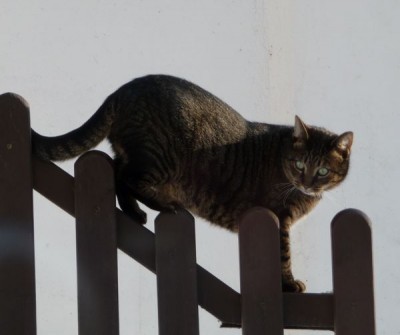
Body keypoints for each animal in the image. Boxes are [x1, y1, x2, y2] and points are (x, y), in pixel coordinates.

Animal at [33, 75, 354, 292]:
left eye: (323, 170)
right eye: (300, 165)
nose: (307, 182)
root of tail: (123, 89)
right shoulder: (278, 216)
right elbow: (283, 254)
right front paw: (289, 283)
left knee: (118, 175)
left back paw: (135, 213)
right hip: (160, 159)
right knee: (126, 178)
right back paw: (164, 205)